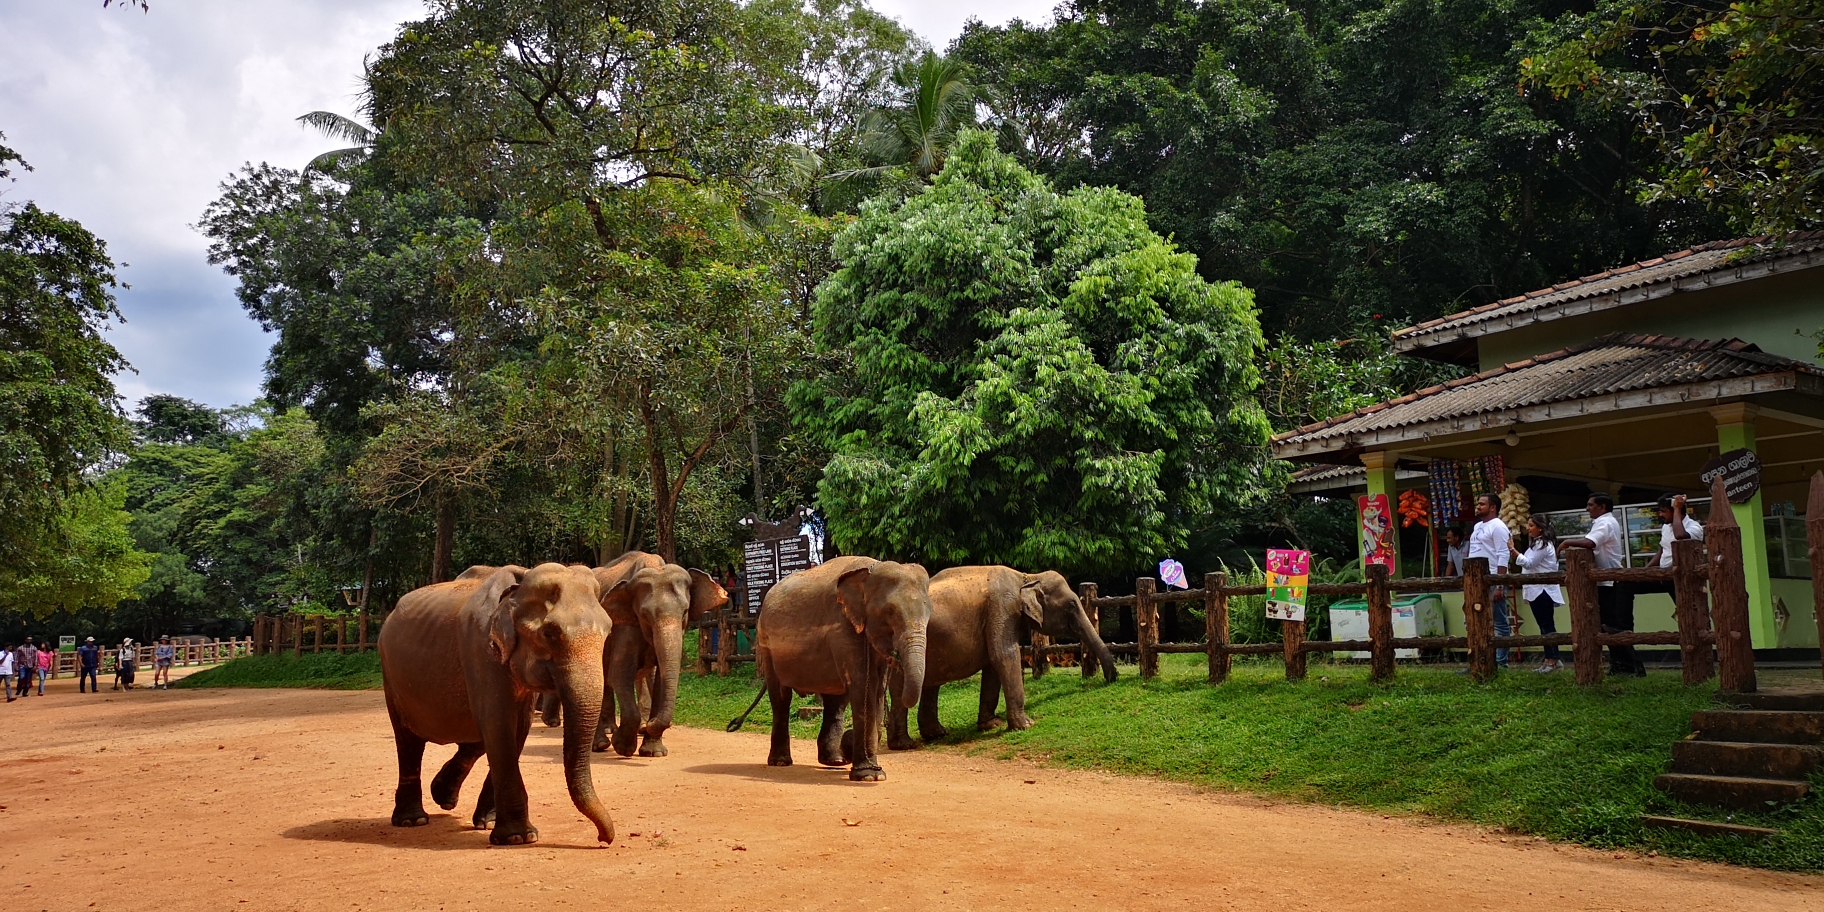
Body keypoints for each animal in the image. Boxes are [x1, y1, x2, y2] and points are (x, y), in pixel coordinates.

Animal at [381, 561, 616, 846]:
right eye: (549, 633)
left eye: (608, 631)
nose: (603, 839)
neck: (519, 586)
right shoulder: (480, 650)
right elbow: (499, 723)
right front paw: (518, 837)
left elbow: (516, 730)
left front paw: (490, 823)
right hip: (390, 676)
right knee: (408, 741)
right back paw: (412, 820)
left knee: (473, 737)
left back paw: (444, 797)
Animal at [587, 550, 722, 758]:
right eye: (644, 615)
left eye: (685, 612)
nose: (650, 725)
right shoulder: (623, 626)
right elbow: (620, 674)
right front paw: (623, 747)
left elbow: (661, 679)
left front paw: (653, 752)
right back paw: (600, 744)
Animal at [755, 554, 933, 784]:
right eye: (889, 612)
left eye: (929, 613)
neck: (870, 571)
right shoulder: (843, 627)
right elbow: (864, 687)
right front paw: (868, 776)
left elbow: (876, 690)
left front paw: (873, 773)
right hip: (766, 643)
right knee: (781, 698)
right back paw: (780, 762)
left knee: (835, 701)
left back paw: (835, 761)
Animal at [890, 565, 1116, 751]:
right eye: (1071, 605)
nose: (1110, 679)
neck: (1027, 577)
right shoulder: (1003, 608)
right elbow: (1004, 655)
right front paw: (1027, 725)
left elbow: (993, 664)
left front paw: (992, 724)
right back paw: (905, 745)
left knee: (927, 683)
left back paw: (935, 735)